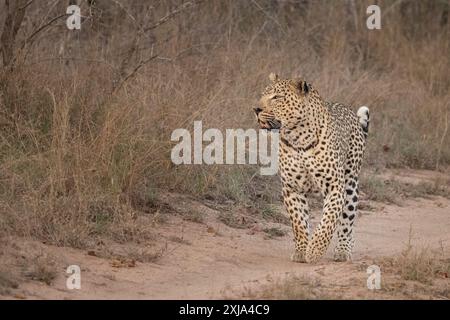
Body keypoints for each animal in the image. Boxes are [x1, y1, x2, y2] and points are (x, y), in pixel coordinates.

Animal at [253, 74, 370, 264]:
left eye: (277, 97)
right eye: (263, 95)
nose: (256, 109)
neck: (297, 137)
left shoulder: (335, 186)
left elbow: (328, 220)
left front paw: (315, 250)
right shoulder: (292, 188)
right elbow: (299, 223)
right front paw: (301, 251)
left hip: (351, 183)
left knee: (347, 220)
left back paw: (343, 249)